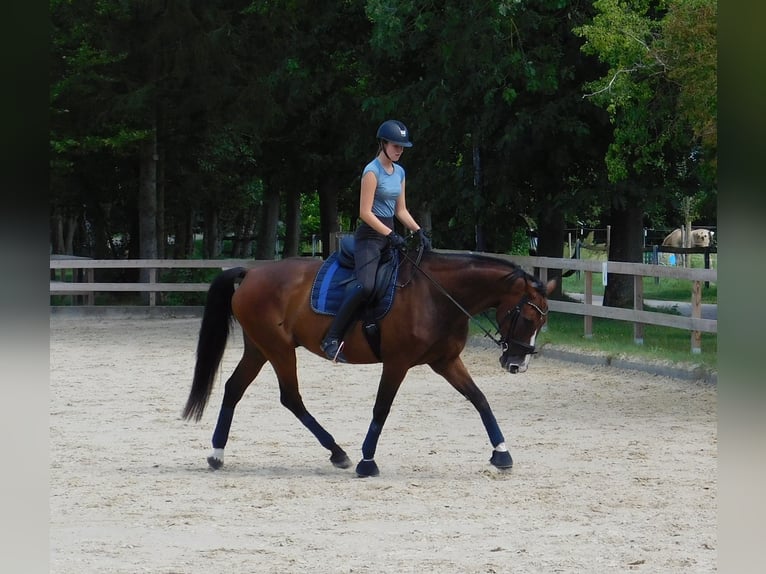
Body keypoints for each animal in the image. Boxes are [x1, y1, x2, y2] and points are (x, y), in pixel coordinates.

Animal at [183, 250, 556, 480]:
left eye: (542, 321)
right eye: (526, 318)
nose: (517, 364)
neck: (437, 295)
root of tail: (251, 273)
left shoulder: (445, 361)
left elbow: (479, 399)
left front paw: (502, 454)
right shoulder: (397, 362)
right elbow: (382, 408)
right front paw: (367, 461)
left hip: (259, 349)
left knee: (234, 388)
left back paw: (217, 453)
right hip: (278, 349)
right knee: (290, 397)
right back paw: (337, 452)